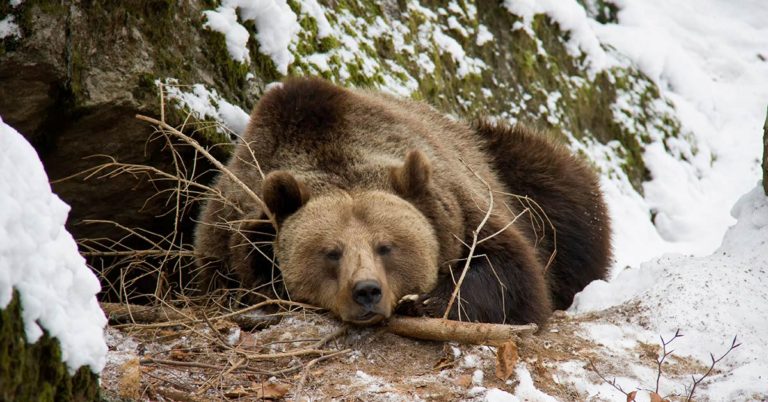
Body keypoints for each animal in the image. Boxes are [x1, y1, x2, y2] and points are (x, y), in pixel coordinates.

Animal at [193, 77, 611, 327]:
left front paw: (425, 301)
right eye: (331, 252)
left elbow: (511, 273)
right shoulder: (226, 234)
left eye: (387, 246)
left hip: (518, 172)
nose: (366, 291)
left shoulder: (463, 206)